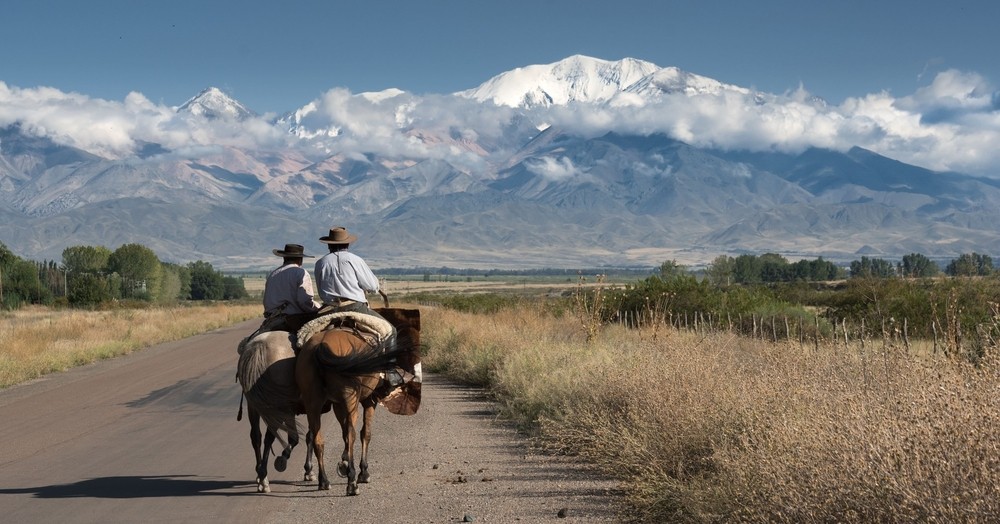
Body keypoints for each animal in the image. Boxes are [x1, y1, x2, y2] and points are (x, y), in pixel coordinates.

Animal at [294, 308, 424, 496]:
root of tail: (320, 346)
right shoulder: (369, 400)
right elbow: (365, 433)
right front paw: (363, 472)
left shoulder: (337, 404)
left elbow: (343, 434)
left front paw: (344, 463)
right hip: (350, 400)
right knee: (352, 434)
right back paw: (352, 482)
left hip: (313, 402)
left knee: (318, 437)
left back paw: (324, 480)